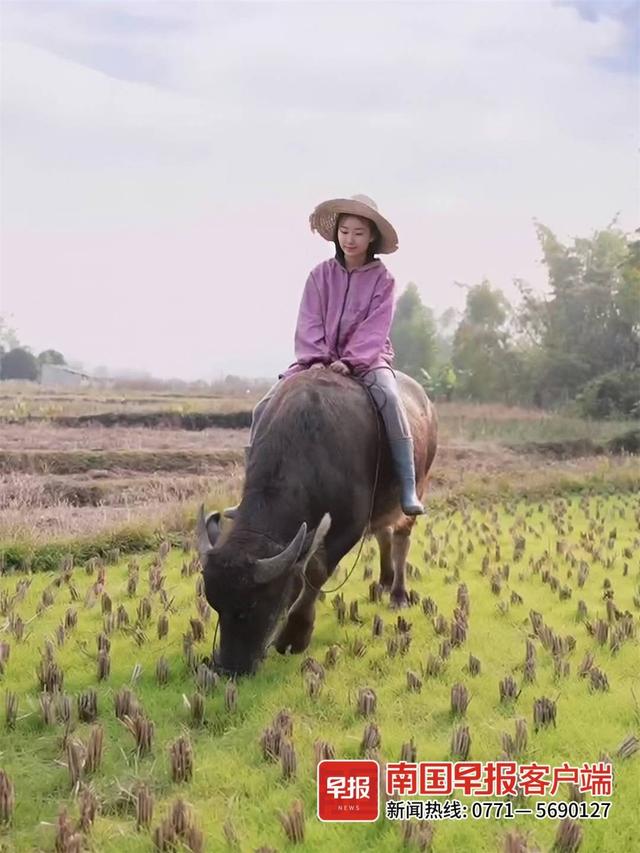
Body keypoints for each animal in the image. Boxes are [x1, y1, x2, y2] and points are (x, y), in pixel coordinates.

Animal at [198, 370, 438, 676]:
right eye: (215, 604)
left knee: (400, 539)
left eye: (252, 605)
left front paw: (295, 635)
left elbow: (315, 570)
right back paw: (383, 582)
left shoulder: (350, 525)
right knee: (383, 534)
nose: (229, 668)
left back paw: (398, 594)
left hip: (418, 487)